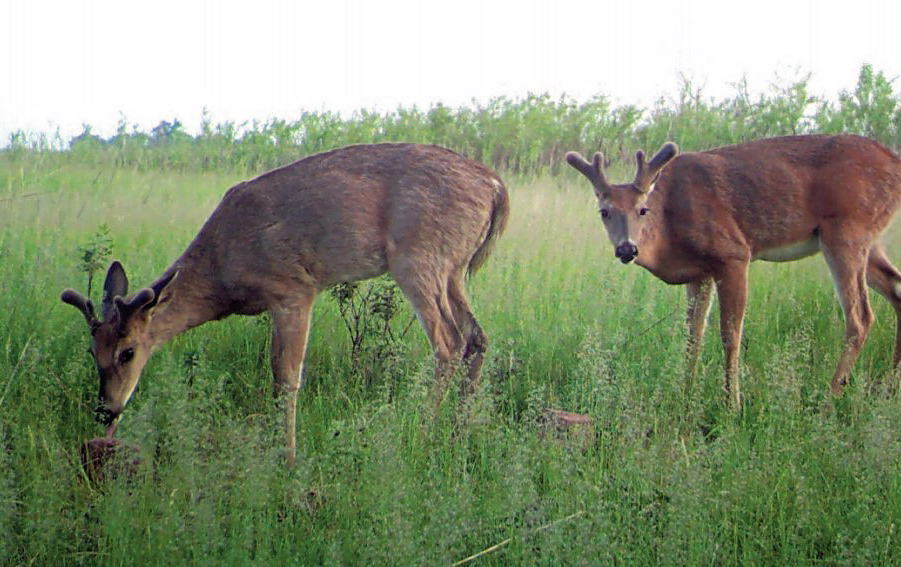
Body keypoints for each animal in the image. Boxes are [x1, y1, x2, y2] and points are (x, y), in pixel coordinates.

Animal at [59, 144, 510, 468]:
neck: (222, 270)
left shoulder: (293, 289)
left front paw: (288, 459)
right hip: (454, 270)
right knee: (478, 338)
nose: (106, 410)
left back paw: (422, 433)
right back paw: (458, 434)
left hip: (419, 260)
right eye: (92, 352)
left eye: (128, 351)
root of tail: (496, 188)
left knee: (448, 342)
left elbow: (285, 377)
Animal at [568, 134, 900, 408]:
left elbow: (730, 334)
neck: (668, 229)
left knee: (860, 317)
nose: (627, 249)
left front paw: (732, 405)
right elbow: (693, 335)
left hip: (846, 229)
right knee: (896, 291)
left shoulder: (734, 254)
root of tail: (894, 162)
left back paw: (829, 400)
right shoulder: (698, 274)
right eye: (604, 212)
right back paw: (890, 385)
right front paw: (685, 394)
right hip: (866, 239)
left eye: (642, 209)